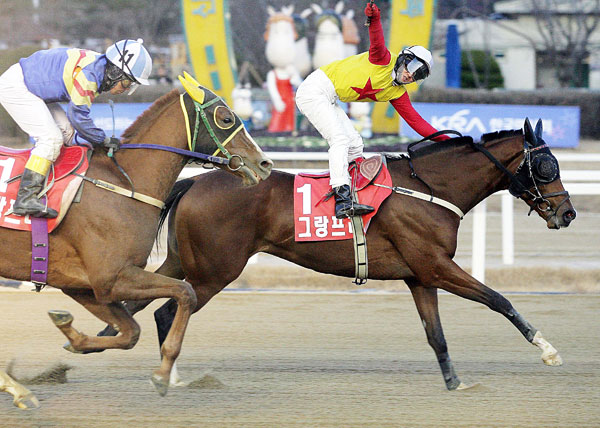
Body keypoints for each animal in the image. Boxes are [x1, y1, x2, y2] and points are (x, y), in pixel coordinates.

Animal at [0, 82, 272, 406]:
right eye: (226, 119)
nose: (264, 164)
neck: (124, 184)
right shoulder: (111, 277)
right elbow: (186, 293)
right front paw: (163, 374)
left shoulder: (84, 285)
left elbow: (131, 332)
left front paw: (70, 335)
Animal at [105, 118, 576, 392]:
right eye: (548, 166)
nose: (568, 213)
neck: (429, 189)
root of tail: (193, 182)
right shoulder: (437, 266)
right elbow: (499, 299)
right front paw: (548, 348)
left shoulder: (420, 275)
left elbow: (436, 334)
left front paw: (454, 382)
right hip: (215, 271)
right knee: (169, 309)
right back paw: (171, 375)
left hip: (183, 261)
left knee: (140, 301)